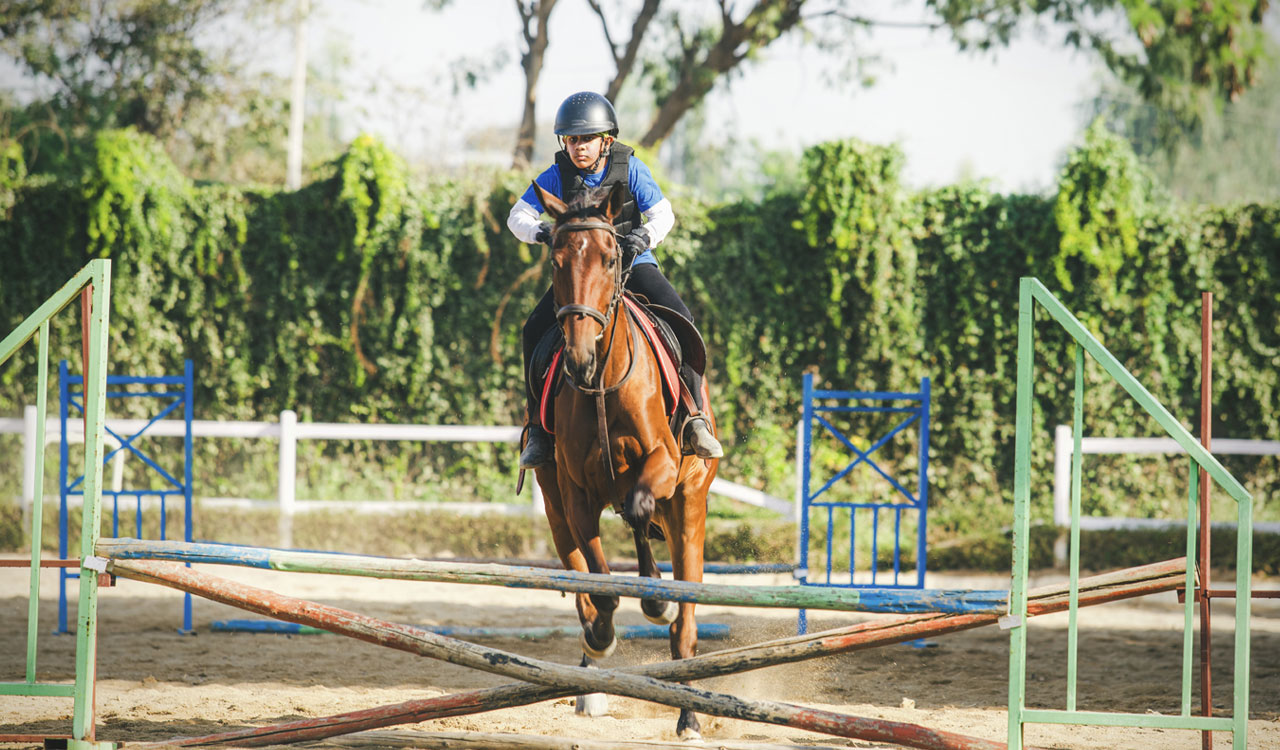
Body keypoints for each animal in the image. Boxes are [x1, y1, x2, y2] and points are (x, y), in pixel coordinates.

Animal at [524, 179, 716, 737]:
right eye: (555, 260)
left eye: (611, 258)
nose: (578, 358)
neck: (602, 384)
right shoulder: (575, 496)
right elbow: (601, 580)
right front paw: (603, 633)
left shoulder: (664, 465)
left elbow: (636, 507)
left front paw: (654, 599)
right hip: (553, 508)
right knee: (580, 574)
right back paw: (592, 670)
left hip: (690, 505)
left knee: (684, 625)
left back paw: (688, 712)